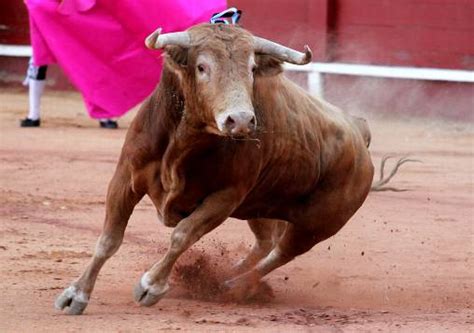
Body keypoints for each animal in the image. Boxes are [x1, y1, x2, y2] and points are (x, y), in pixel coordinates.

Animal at [55, 23, 374, 314]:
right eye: (202, 67)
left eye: (251, 68)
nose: (241, 120)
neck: (185, 142)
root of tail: (359, 130)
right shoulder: (125, 177)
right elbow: (109, 240)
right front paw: (76, 295)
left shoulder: (226, 197)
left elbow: (182, 235)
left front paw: (150, 286)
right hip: (262, 207)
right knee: (265, 242)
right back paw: (232, 274)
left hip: (317, 224)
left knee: (281, 252)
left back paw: (234, 285)